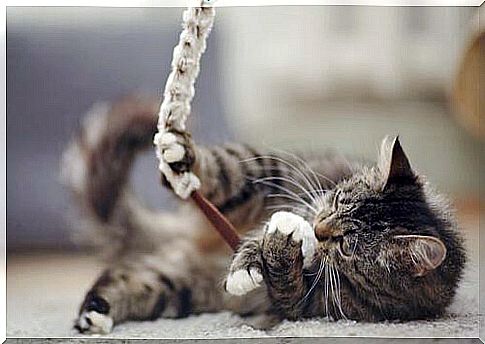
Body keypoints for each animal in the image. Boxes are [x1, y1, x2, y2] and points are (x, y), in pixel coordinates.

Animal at [60, 94, 466, 334]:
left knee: (124, 277)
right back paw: (182, 157)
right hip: (265, 172)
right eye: (336, 200)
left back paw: (96, 313)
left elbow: (284, 282)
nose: (319, 228)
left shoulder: (307, 305)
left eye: (347, 246)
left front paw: (277, 249)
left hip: (178, 284)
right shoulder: (291, 184)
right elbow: (249, 208)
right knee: (226, 172)